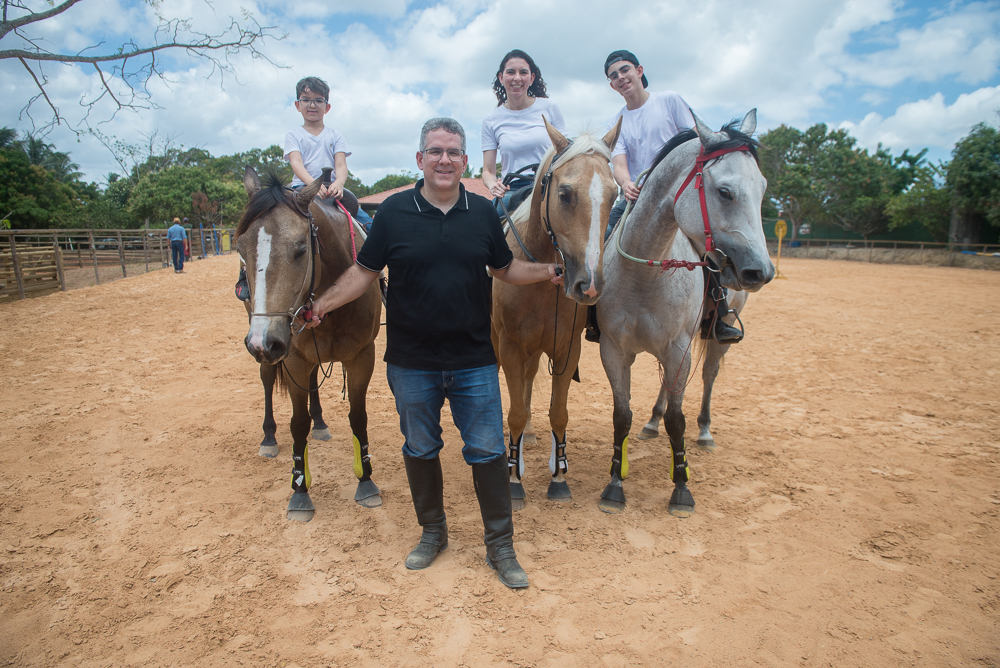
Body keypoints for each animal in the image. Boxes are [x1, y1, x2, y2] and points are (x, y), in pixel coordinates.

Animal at [236, 167, 384, 520]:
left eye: (301, 249)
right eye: (240, 249)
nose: (264, 340)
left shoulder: (363, 356)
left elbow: (358, 416)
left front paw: (366, 481)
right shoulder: (292, 358)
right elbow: (297, 423)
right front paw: (300, 490)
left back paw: (320, 422)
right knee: (267, 380)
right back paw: (269, 437)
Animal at [490, 117, 620, 508]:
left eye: (614, 194)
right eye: (564, 193)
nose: (588, 285)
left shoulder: (566, 349)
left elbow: (558, 413)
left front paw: (559, 476)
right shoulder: (510, 347)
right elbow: (514, 412)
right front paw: (513, 478)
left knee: (528, 384)